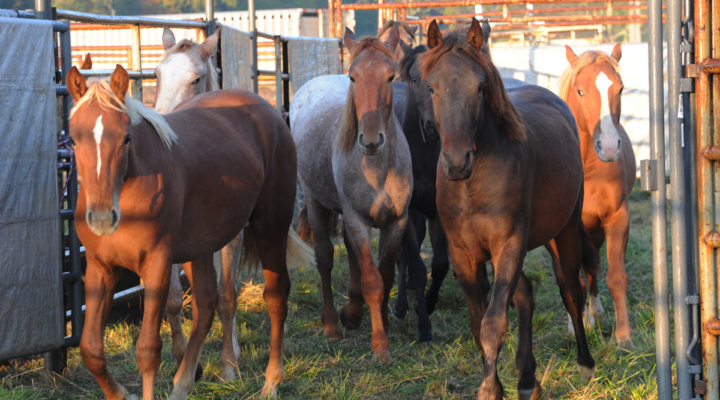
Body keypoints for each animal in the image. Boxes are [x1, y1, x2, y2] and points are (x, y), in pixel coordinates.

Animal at [67, 64, 312, 398]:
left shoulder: (157, 265)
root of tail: (267, 109)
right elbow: (91, 349)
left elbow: (147, 350)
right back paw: (183, 384)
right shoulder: (100, 268)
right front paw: (122, 393)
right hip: (201, 247)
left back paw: (271, 382)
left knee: (275, 296)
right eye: (73, 139)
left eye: (126, 138)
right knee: (206, 305)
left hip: (269, 227)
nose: (103, 218)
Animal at [292, 26, 414, 360]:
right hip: (316, 202)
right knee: (325, 258)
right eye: (353, 77)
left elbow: (385, 274)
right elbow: (373, 280)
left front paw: (382, 321)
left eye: (390, 76)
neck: (378, 169)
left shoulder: (397, 221)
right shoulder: (357, 219)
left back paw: (352, 312)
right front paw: (380, 344)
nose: (371, 140)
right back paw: (332, 324)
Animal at [422, 19, 596, 400]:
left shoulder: (509, 245)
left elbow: (493, 322)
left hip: (562, 234)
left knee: (571, 291)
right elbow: (478, 323)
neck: (472, 185)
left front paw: (489, 389)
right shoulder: (465, 254)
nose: (456, 161)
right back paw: (528, 379)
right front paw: (500, 386)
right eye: (431, 87)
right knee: (526, 294)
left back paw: (586, 363)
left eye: (480, 86)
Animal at [556, 44, 636, 350]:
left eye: (620, 89)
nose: (610, 147)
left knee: (592, 266)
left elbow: (615, 276)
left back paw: (597, 310)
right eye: (580, 91)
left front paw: (624, 337)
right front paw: (580, 326)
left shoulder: (617, 219)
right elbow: (568, 279)